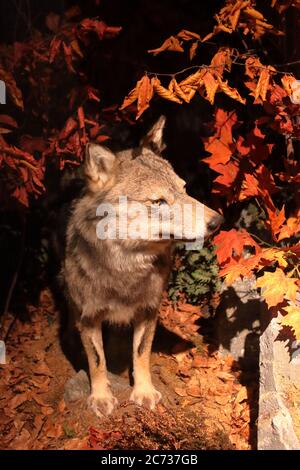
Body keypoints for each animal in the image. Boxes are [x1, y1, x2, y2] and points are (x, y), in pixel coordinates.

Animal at [62, 117, 223, 418]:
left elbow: (141, 355)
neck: (126, 269)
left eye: (184, 190)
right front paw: (100, 397)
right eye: (158, 202)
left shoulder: (148, 310)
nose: (217, 222)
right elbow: (97, 362)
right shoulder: (88, 317)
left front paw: (144, 392)